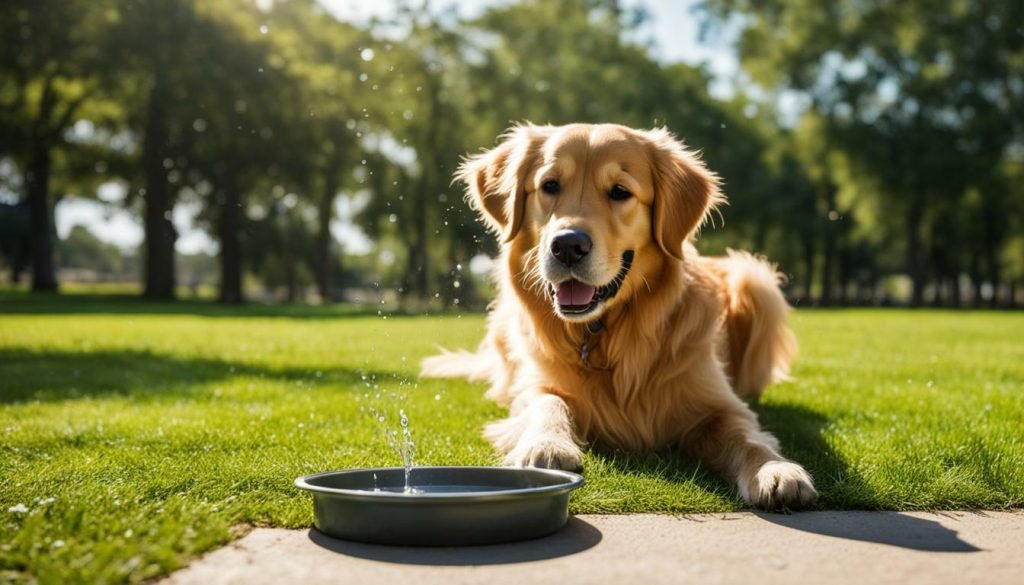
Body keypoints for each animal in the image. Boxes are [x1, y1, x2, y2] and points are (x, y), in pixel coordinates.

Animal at [421, 122, 815, 508]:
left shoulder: (720, 404)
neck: (604, 332)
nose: (567, 245)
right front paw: (547, 444)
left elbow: (747, 438)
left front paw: (776, 470)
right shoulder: (537, 383)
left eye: (620, 192)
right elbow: (547, 402)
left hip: (756, 281)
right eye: (550, 186)